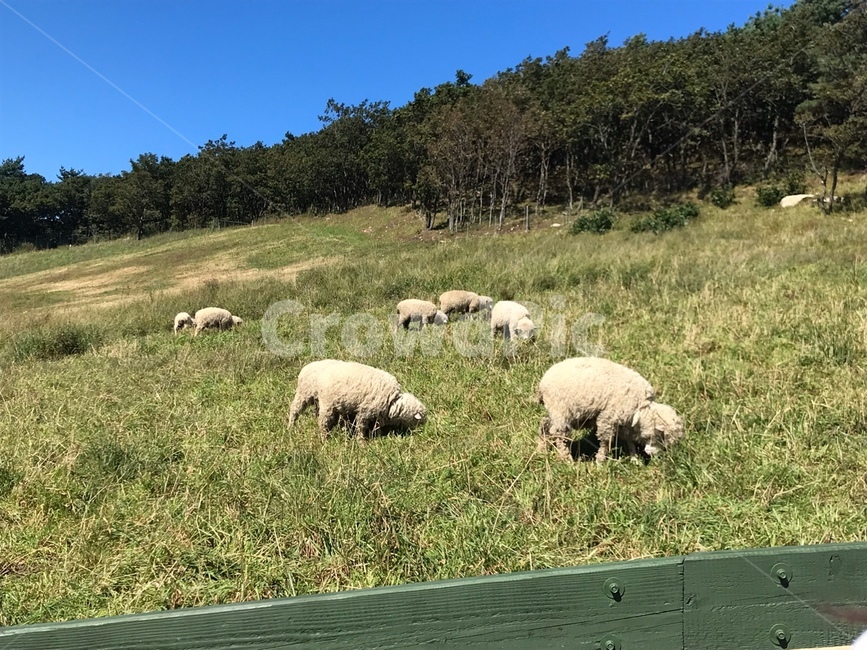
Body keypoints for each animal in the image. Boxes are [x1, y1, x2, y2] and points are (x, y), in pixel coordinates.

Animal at [287, 359, 426, 440]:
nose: (421, 432)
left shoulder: (377, 414)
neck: (393, 402)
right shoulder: (365, 411)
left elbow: (377, 427)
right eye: (419, 421)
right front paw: (361, 441)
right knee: (300, 412)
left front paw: (378, 437)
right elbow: (361, 427)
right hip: (307, 395)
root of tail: (306, 367)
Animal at [536, 357, 683, 463]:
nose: (655, 456)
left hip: (557, 412)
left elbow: (629, 441)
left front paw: (634, 459)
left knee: (545, 426)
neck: (642, 408)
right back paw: (567, 460)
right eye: (662, 437)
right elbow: (606, 441)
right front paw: (600, 462)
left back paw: (540, 450)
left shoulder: (625, 423)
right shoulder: (608, 418)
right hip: (561, 410)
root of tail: (542, 382)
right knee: (559, 435)